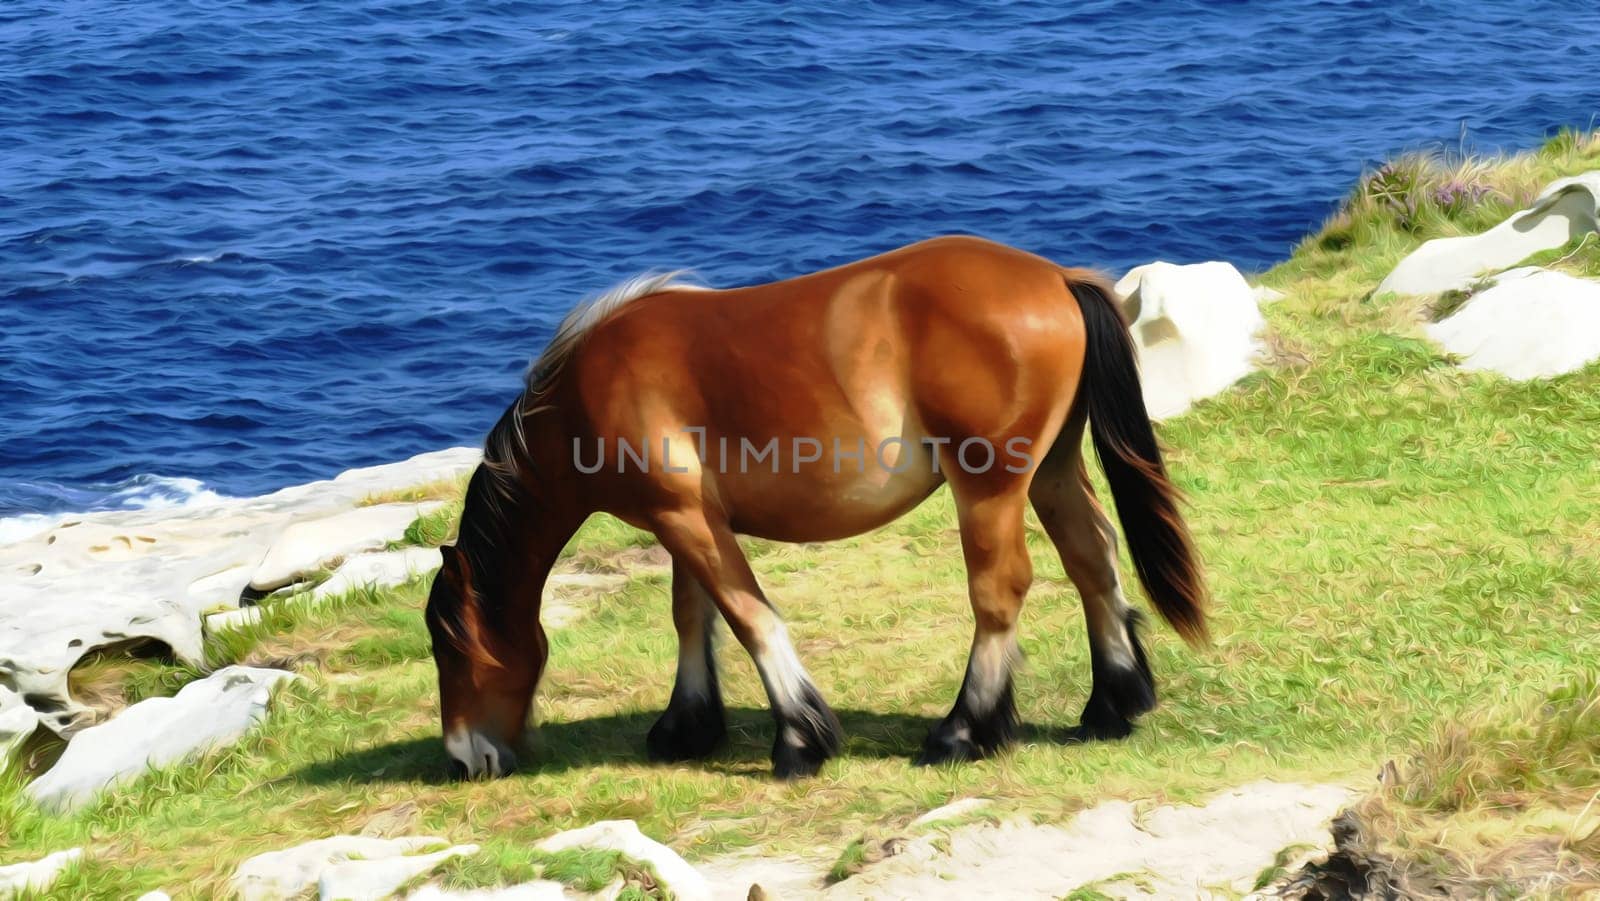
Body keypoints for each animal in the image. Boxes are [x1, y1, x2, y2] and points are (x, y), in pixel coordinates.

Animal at [419, 235, 1203, 784]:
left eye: (449, 646)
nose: (462, 759)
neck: (588, 393)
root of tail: (1055, 278)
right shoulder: (684, 519)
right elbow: (692, 615)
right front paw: (686, 726)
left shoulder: (686, 520)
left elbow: (748, 617)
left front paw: (799, 738)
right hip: (1052, 473)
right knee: (1093, 560)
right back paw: (1113, 703)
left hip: (990, 489)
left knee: (1000, 592)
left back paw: (963, 730)